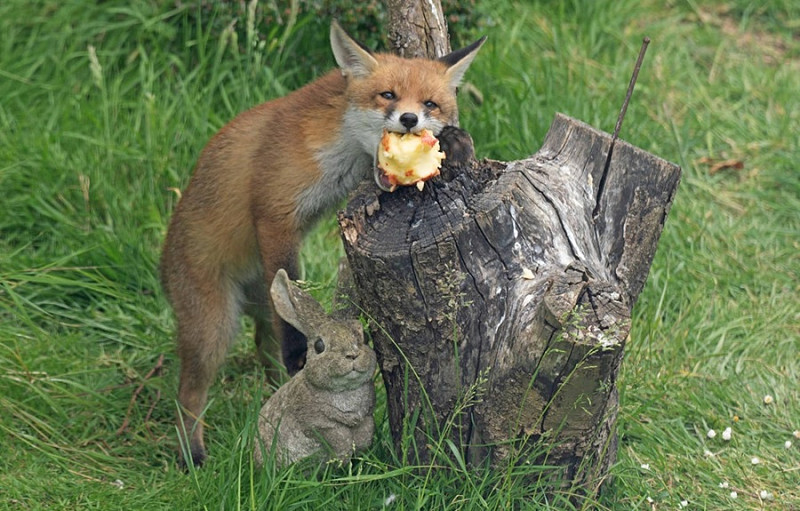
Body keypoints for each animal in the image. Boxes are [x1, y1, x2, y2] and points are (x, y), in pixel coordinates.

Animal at [160, 20, 485, 467]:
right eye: (388, 95)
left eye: (430, 104)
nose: (408, 118)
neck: (339, 148)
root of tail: (163, 263)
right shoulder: (275, 214)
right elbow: (293, 280)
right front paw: (301, 351)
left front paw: (457, 142)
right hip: (214, 329)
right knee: (189, 391)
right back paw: (192, 452)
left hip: (257, 306)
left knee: (264, 344)